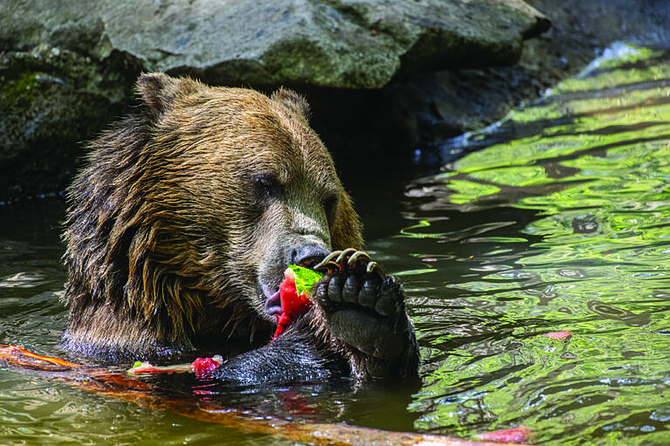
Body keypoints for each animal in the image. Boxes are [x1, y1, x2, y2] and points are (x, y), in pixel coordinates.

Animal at [63, 74, 420, 384]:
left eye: (329, 198)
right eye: (265, 182)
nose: (311, 255)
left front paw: (362, 300)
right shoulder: (126, 346)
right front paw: (327, 322)